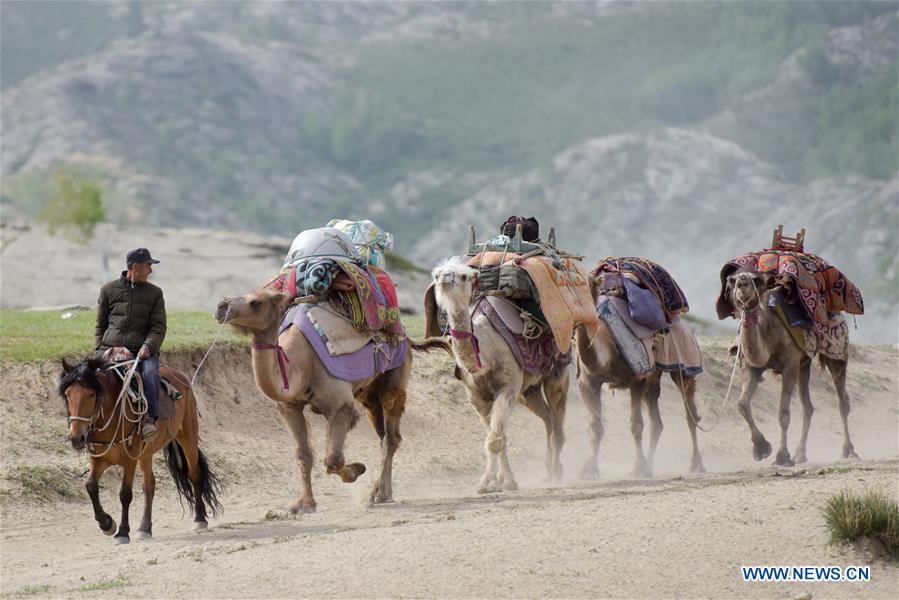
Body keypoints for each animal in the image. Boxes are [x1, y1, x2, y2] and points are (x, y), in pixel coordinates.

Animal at [60, 356, 221, 544]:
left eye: (91, 394)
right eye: (67, 394)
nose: (76, 437)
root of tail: (181, 377)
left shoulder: (130, 459)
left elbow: (125, 494)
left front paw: (122, 532)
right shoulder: (98, 459)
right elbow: (91, 486)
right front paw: (107, 524)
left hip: (187, 437)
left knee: (194, 473)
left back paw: (200, 518)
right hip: (146, 454)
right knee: (149, 485)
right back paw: (144, 528)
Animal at [216, 290, 442, 510]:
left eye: (255, 302)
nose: (222, 306)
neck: (299, 363)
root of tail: (405, 335)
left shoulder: (340, 406)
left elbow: (333, 459)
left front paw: (357, 470)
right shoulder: (290, 406)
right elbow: (304, 454)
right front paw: (305, 503)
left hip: (394, 379)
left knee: (391, 437)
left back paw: (380, 494)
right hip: (368, 394)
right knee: (382, 435)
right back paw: (380, 492)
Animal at [426, 258, 568, 492]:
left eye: (463, 276)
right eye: (437, 274)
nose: (445, 278)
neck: (485, 352)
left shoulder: (507, 389)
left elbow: (494, 440)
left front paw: (492, 483)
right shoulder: (477, 398)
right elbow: (497, 437)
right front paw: (498, 480)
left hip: (557, 371)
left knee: (557, 420)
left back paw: (556, 473)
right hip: (528, 390)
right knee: (547, 418)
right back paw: (548, 469)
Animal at [572, 278, 708, 480]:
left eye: (590, 289)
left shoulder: (636, 379)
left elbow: (636, 425)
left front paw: (637, 468)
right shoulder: (588, 382)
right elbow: (595, 427)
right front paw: (589, 471)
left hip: (685, 360)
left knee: (690, 413)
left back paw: (696, 464)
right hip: (653, 379)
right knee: (657, 421)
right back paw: (649, 467)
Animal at [724, 270, 856, 466]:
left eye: (755, 279)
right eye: (732, 281)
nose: (742, 281)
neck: (766, 330)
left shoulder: (789, 365)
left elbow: (783, 414)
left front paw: (782, 456)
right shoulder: (752, 367)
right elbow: (742, 404)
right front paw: (761, 448)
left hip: (836, 353)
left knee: (843, 401)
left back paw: (848, 451)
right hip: (804, 364)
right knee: (808, 406)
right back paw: (800, 454)